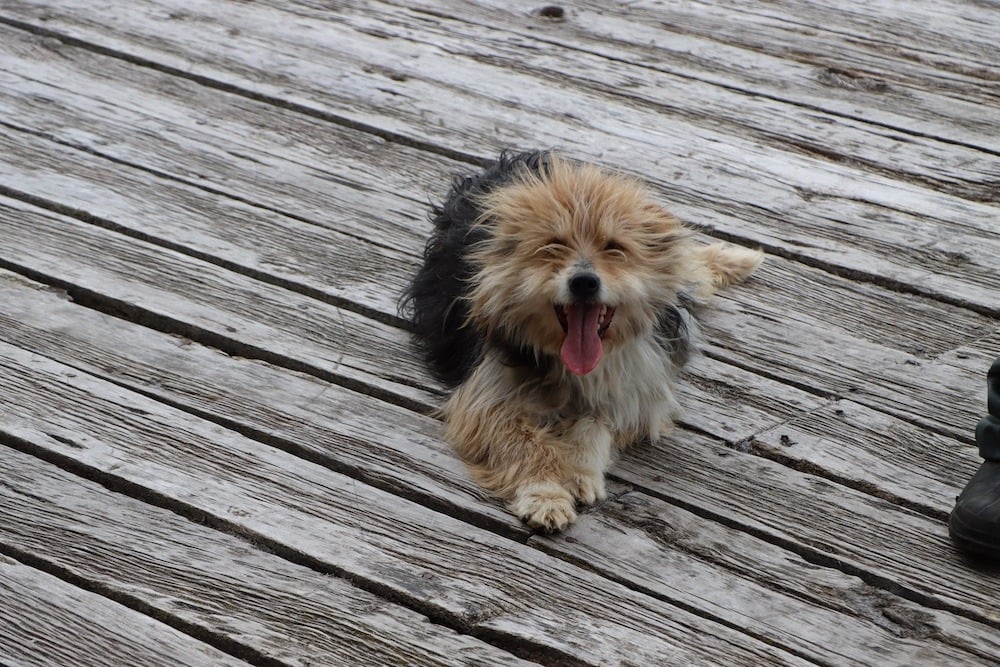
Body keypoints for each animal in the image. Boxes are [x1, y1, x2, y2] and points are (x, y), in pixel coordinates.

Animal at [402, 151, 760, 532]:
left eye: (614, 247)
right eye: (553, 244)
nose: (584, 282)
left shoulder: (637, 396)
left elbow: (595, 424)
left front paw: (577, 469)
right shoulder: (486, 397)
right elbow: (522, 442)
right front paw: (546, 492)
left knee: (691, 265)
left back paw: (736, 258)